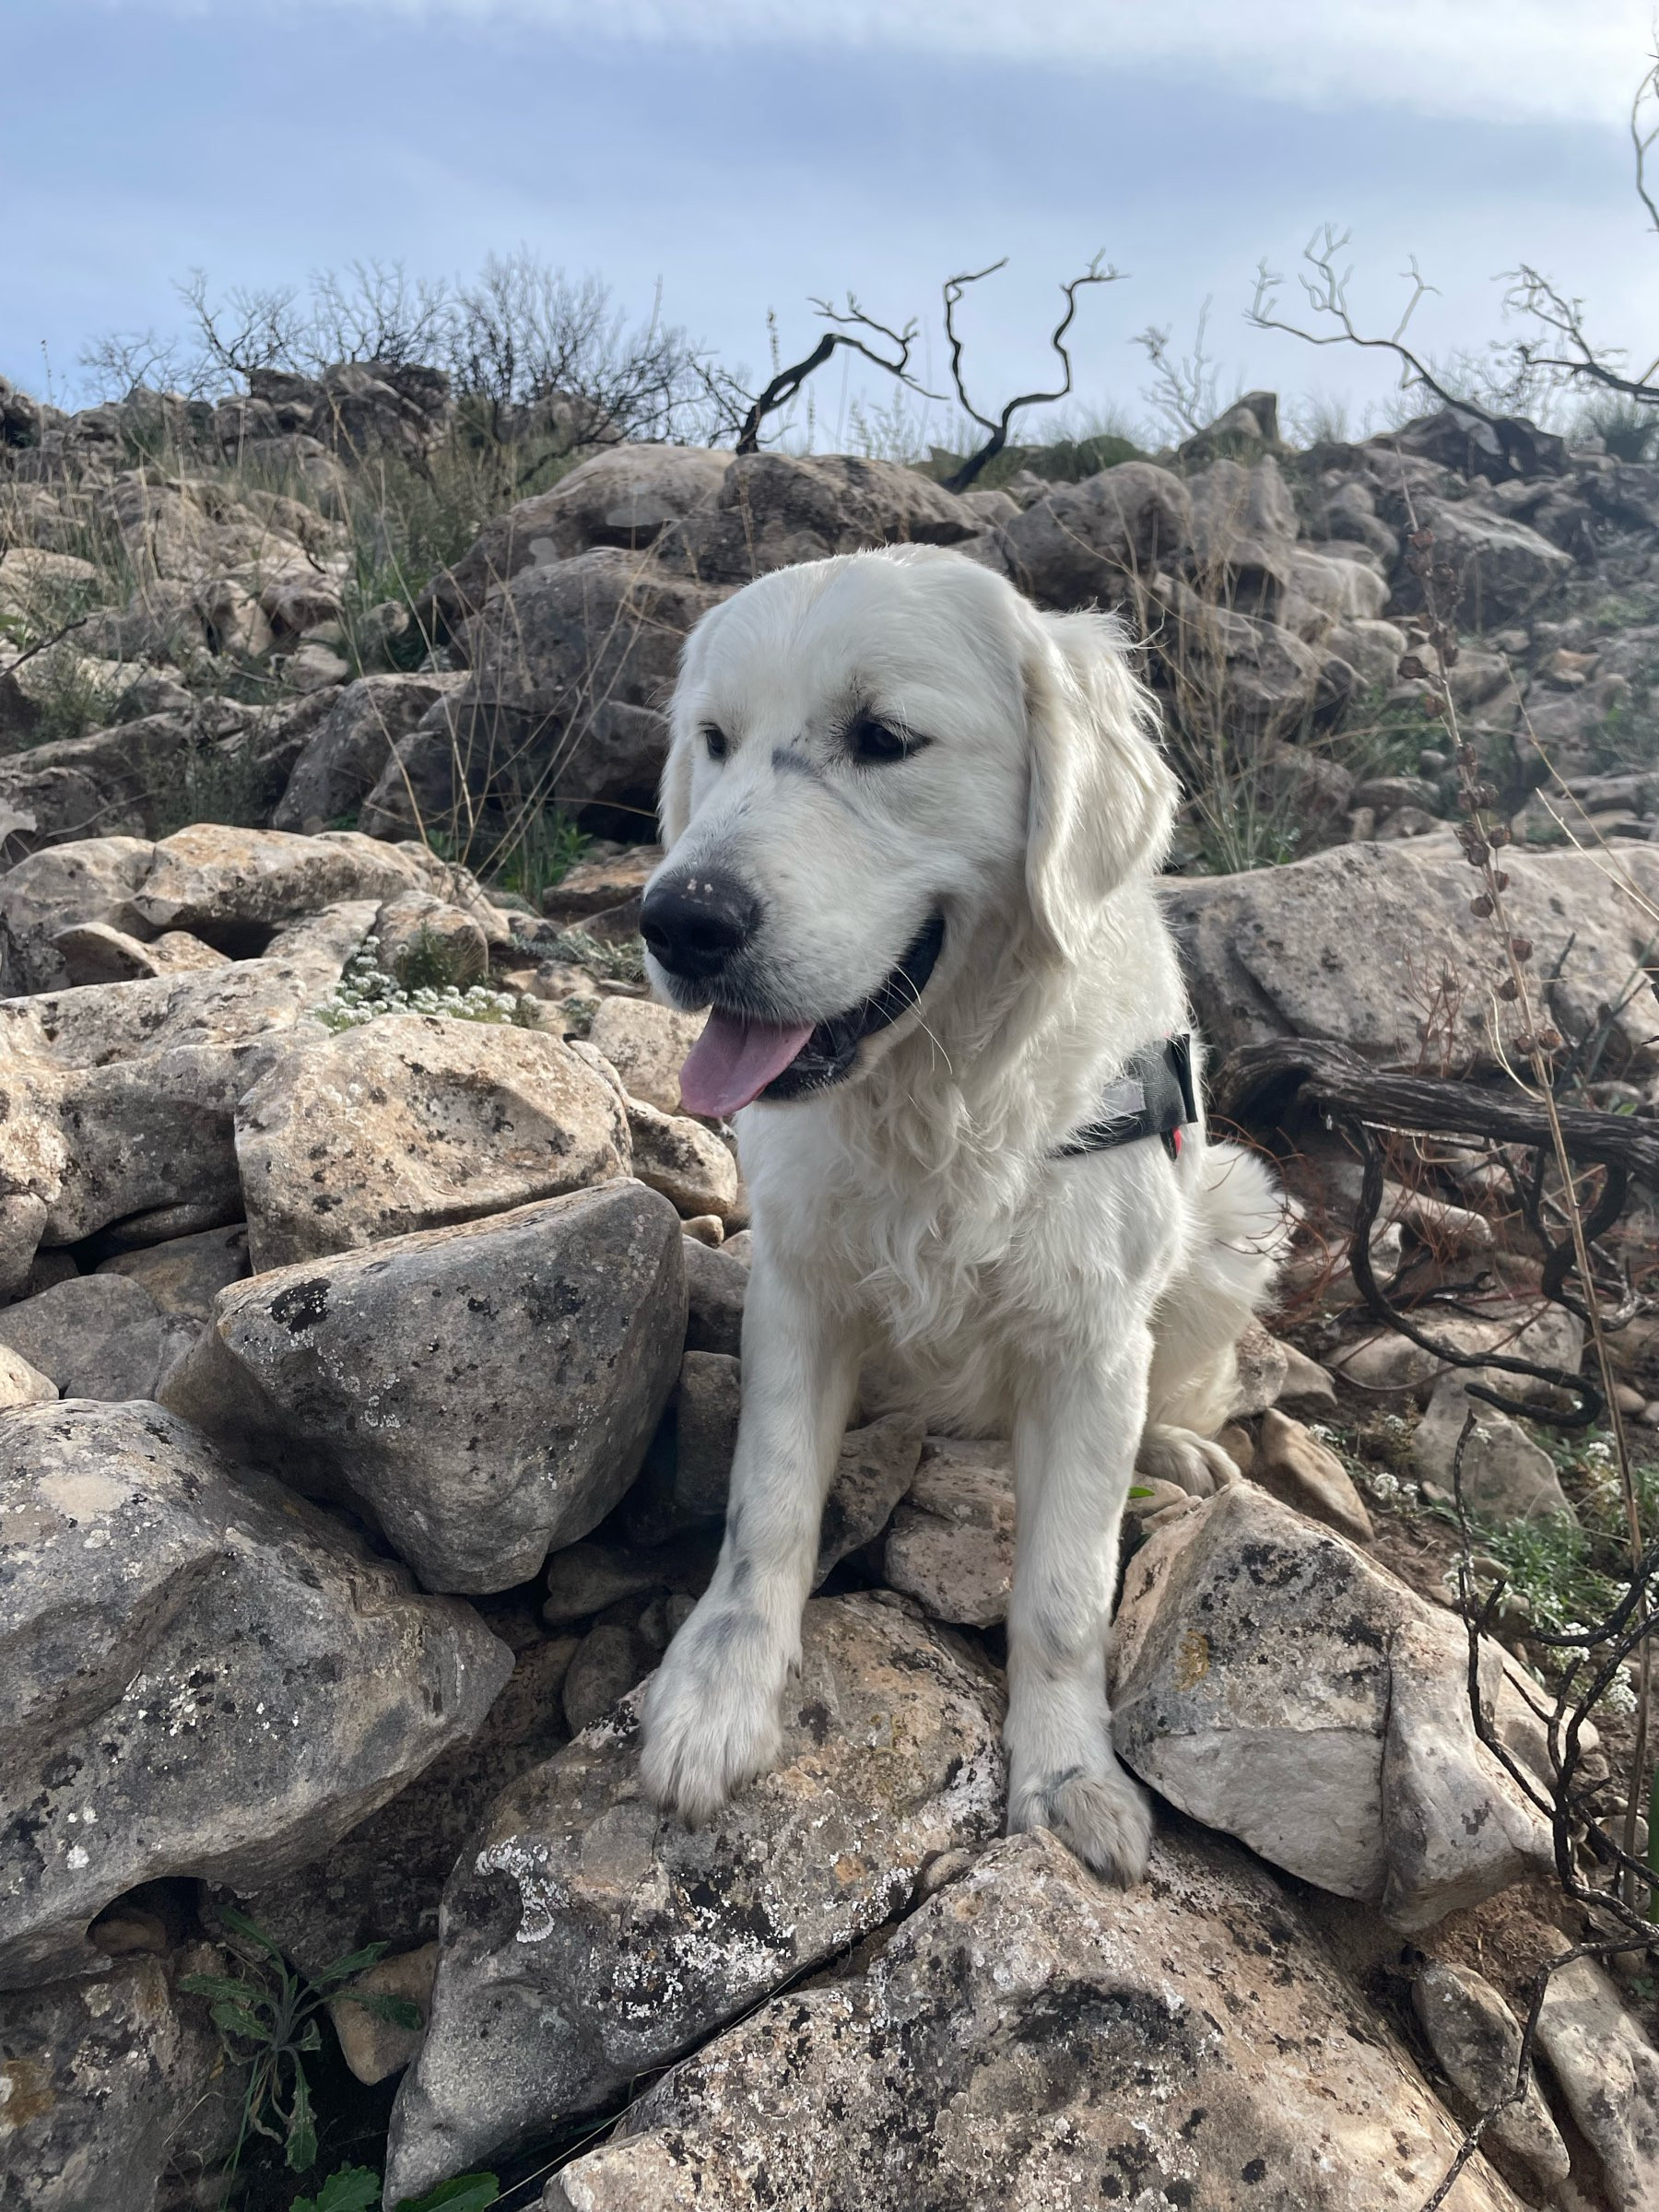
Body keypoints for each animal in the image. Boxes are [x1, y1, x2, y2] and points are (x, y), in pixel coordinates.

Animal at [634, 544, 1284, 1884]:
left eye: (885, 738)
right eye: (714, 741)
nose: (679, 919)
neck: (941, 1106)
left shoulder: (1091, 1345)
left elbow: (1064, 1593)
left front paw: (1070, 1776)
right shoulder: (798, 1289)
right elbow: (766, 1507)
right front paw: (717, 1701)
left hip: (1231, 1212)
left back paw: (1178, 1450)